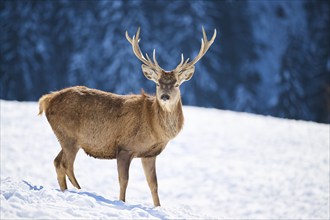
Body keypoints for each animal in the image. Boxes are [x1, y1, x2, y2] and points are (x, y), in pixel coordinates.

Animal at [38, 26, 217, 207]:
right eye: (157, 83)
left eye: (177, 84)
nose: (165, 96)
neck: (154, 128)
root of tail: (47, 99)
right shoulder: (124, 147)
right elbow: (123, 180)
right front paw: (122, 202)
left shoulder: (149, 154)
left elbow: (153, 184)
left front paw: (158, 207)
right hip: (69, 136)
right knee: (66, 165)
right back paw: (81, 191)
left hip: (65, 137)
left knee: (57, 162)